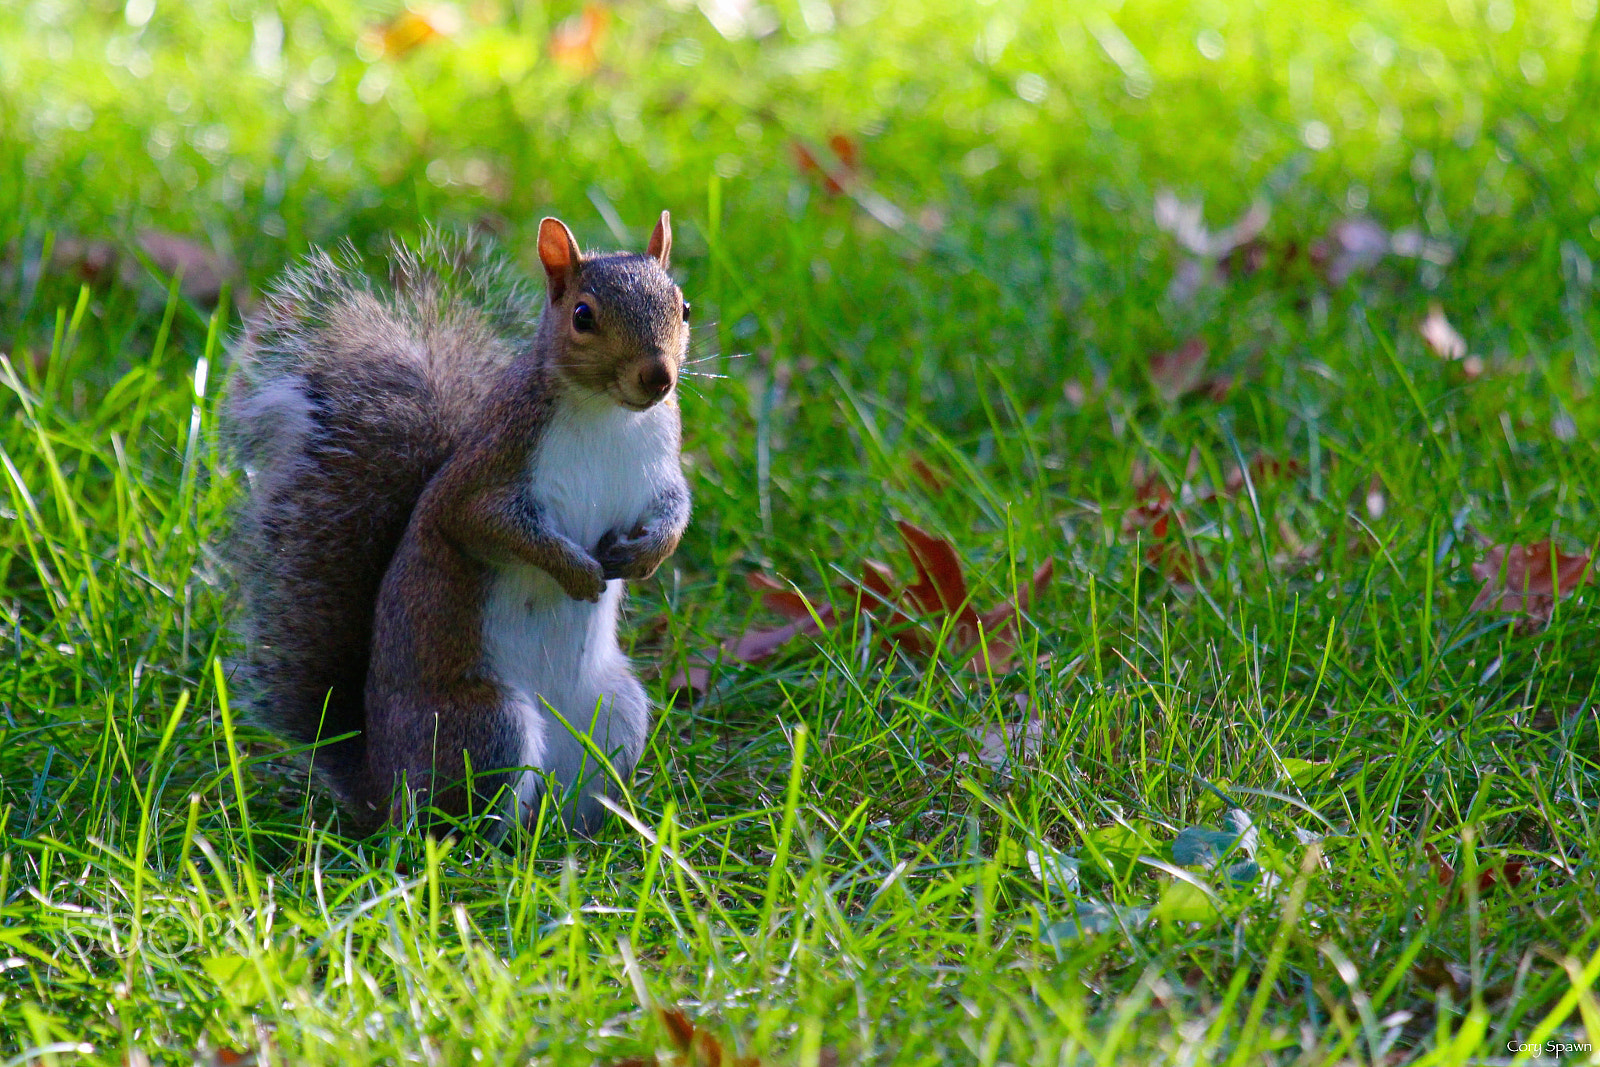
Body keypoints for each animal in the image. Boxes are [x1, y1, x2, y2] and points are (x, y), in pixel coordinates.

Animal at [228, 213, 691, 835]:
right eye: (583, 316)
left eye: (683, 306)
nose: (657, 377)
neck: (610, 414)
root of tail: (382, 786)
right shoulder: (489, 466)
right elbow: (485, 525)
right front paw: (574, 570)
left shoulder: (660, 467)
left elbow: (675, 509)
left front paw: (646, 555)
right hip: (483, 725)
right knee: (459, 815)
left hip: (615, 711)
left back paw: (581, 838)